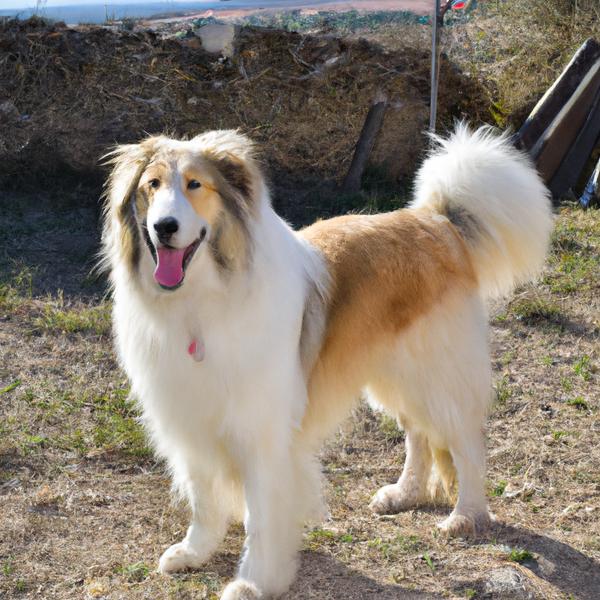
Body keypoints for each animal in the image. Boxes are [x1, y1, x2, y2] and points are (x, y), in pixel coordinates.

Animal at [99, 124, 552, 596]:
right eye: (152, 185)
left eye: (194, 185)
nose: (164, 227)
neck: (202, 303)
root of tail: (436, 219)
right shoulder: (192, 422)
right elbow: (204, 502)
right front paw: (194, 552)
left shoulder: (262, 431)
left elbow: (263, 518)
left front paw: (255, 581)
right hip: (395, 374)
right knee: (418, 434)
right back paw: (405, 494)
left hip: (437, 374)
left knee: (465, 443)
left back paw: (466, 515)